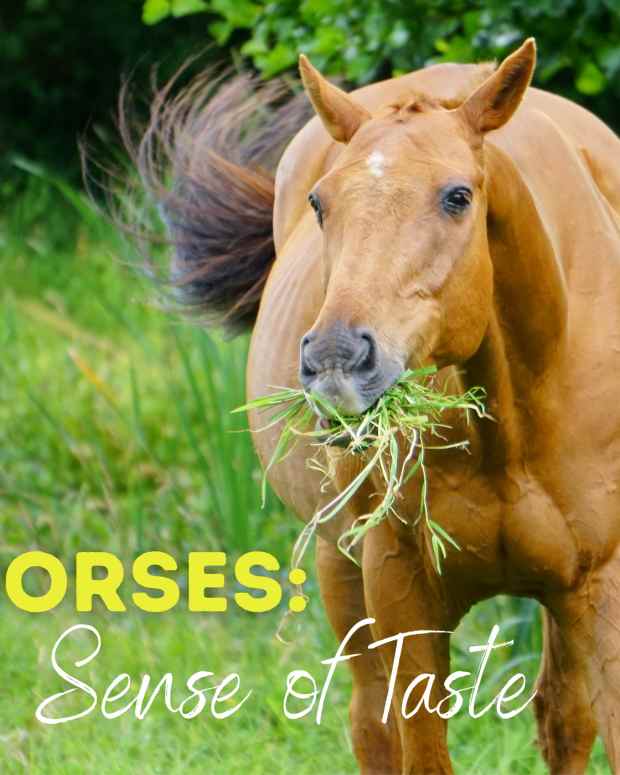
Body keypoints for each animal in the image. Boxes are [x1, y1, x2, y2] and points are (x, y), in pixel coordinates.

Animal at [128, 38, 620, 774]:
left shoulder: (600, 591)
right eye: (321, 202)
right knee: (370, 723)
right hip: (340, 566)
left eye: (457, 196)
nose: (337, 358)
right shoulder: (400, 590)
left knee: (562, 717)